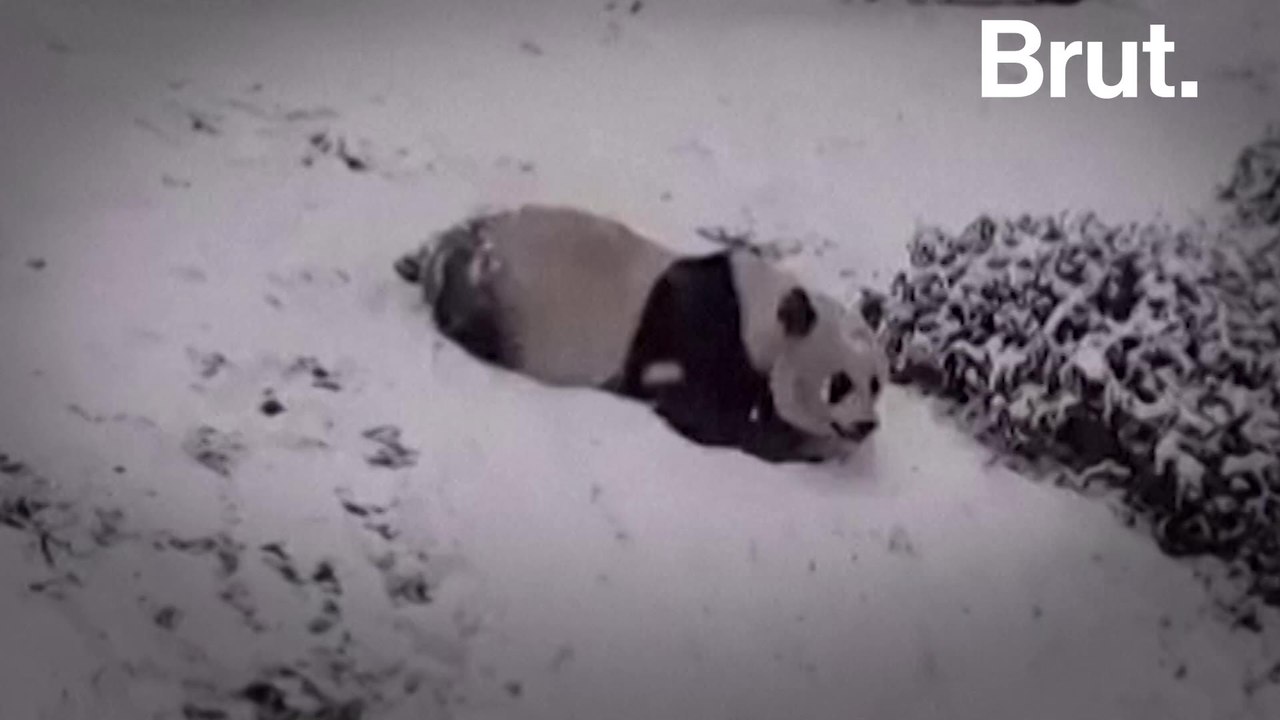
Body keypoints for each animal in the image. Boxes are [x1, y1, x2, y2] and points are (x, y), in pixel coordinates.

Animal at [394, 205, 886, 463]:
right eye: (838, 383)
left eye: (876, 383)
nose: (866, 425)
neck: (761, 314)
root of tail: (446, 250)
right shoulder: (699, 338)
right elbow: (709, 418)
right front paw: (805, 444)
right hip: (500, 300)